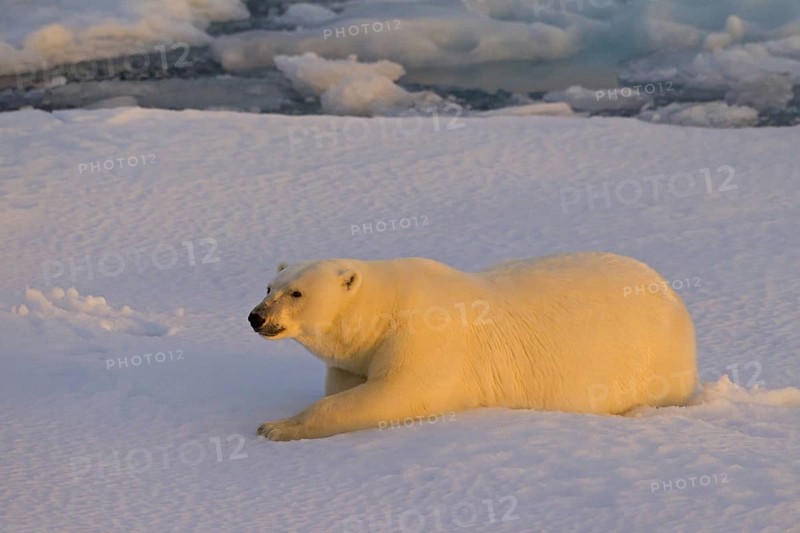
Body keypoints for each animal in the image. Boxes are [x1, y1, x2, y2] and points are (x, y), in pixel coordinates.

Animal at [248, 253, 697, 441]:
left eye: (297, 293)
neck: (383, 309)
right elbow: (346, 386)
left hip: (654, 358)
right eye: (269, 287)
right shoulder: (354, 359)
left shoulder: (427, 338)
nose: (256, 317)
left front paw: (276, 426)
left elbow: (396, 394)